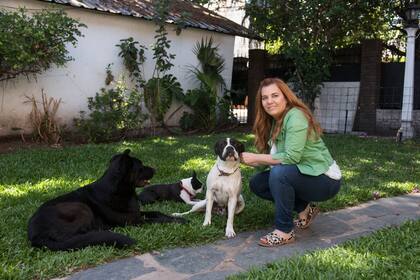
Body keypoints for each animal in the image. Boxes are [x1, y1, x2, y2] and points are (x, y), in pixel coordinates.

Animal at [27, 150, 185, 250]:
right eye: (140, 167)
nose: (155, 169)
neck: (120, 189)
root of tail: (35, 235)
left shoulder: (136, 213)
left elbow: (158, 213)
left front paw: (177, 217)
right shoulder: (134, 220)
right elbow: (158, 219)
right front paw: (176, 221)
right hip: (81, 207)